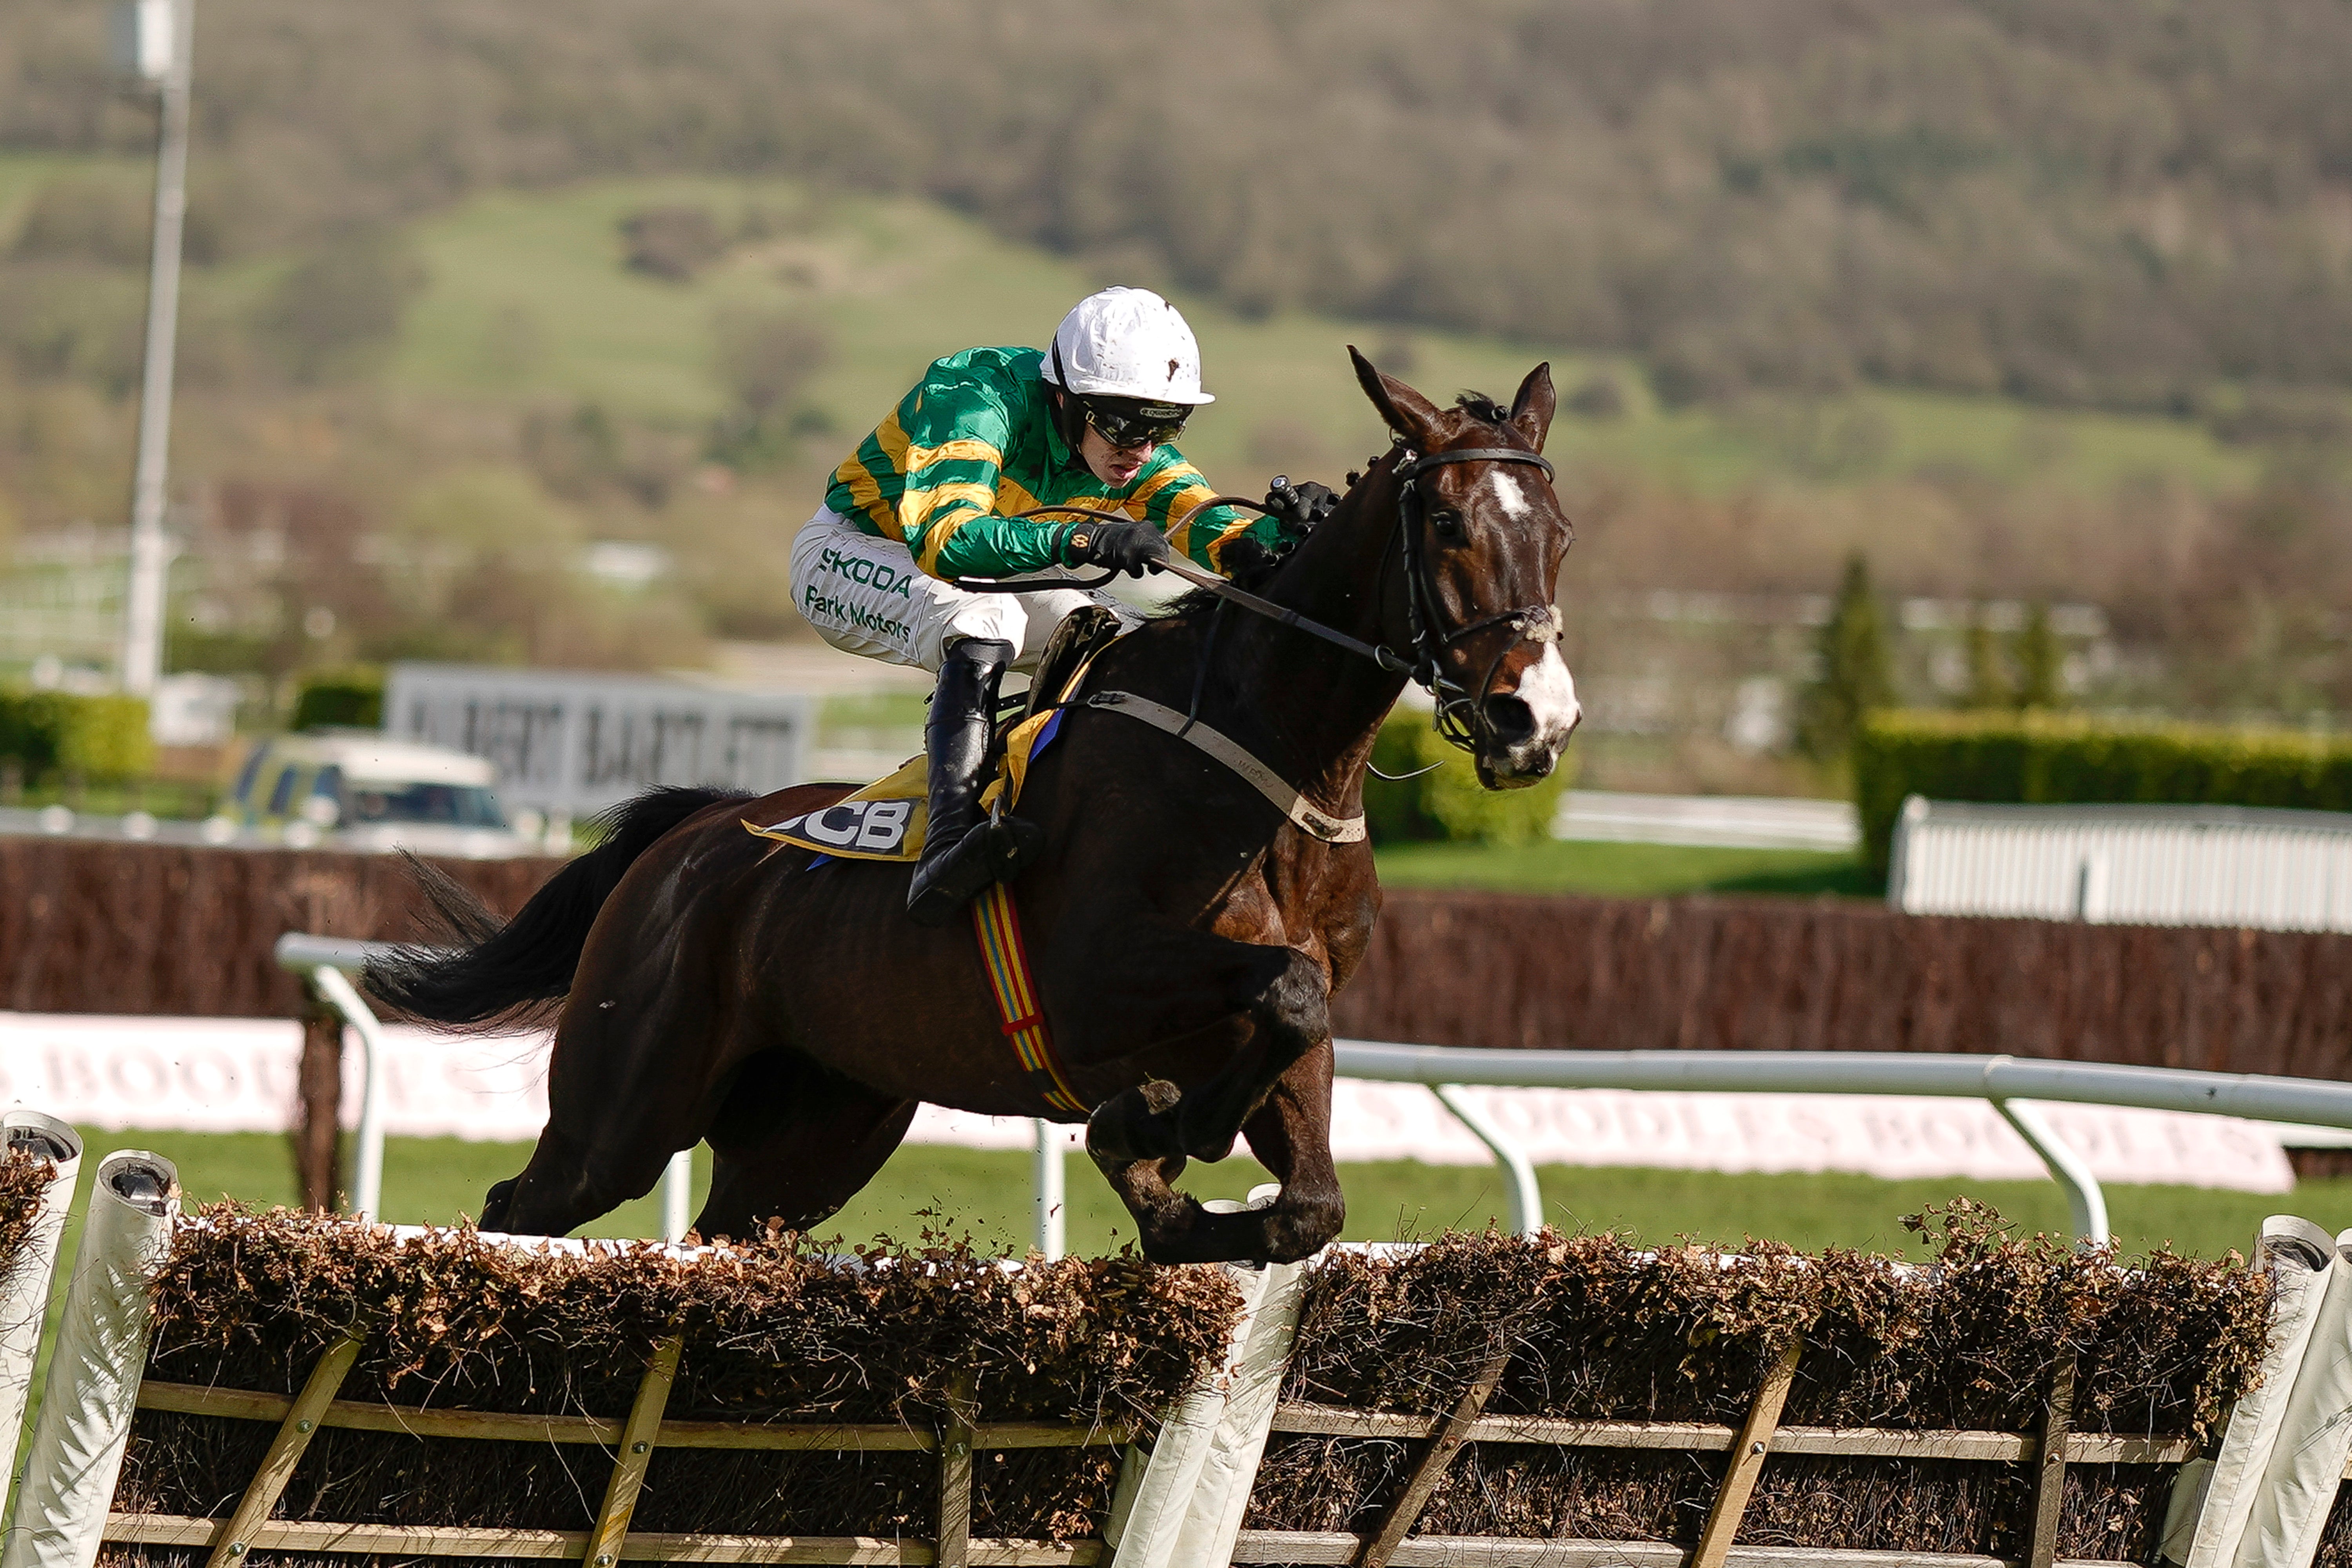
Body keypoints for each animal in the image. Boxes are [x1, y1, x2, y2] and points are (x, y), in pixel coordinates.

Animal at [372, 350, 1581, 1269]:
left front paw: (1169, 1167)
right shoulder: (1096, 978)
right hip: (625, 1105)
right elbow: (1263, 1006)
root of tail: (690, 841)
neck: (1271, 778)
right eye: (1450, 525)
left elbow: (1308, 1187)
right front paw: (1158, 1125)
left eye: (1561, 530)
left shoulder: (1298, 1034)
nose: (1536, 717)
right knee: (520, 1210)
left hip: (816, 1127)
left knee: (724, 1234)